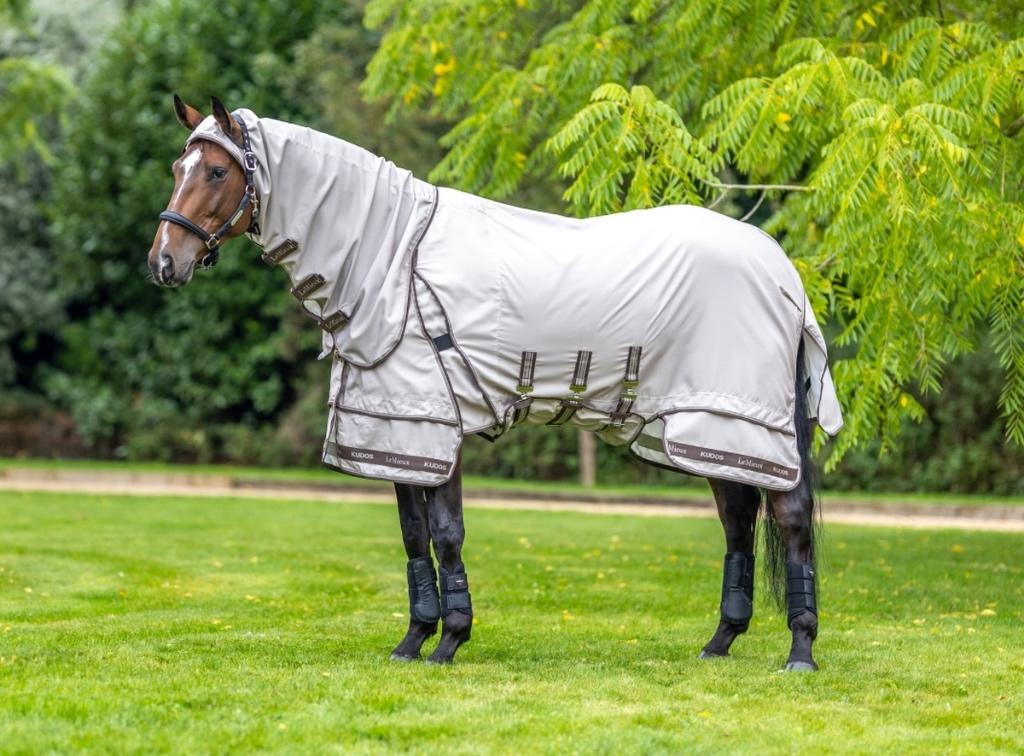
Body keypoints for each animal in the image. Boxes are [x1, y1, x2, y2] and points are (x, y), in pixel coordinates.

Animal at [148, 96, 842, 670]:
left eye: (216, 172)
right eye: (180, 167)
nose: (163, 264)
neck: (393, 260)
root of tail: (783, 270)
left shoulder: (436, 429)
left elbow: (447, 535)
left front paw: (449, 642)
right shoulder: (399, 433)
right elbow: (414, 537)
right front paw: (413, 641)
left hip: (745, 425)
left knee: (791, 521)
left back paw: (800, 652)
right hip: (707, 431)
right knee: (738, 522)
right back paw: (719, 643)